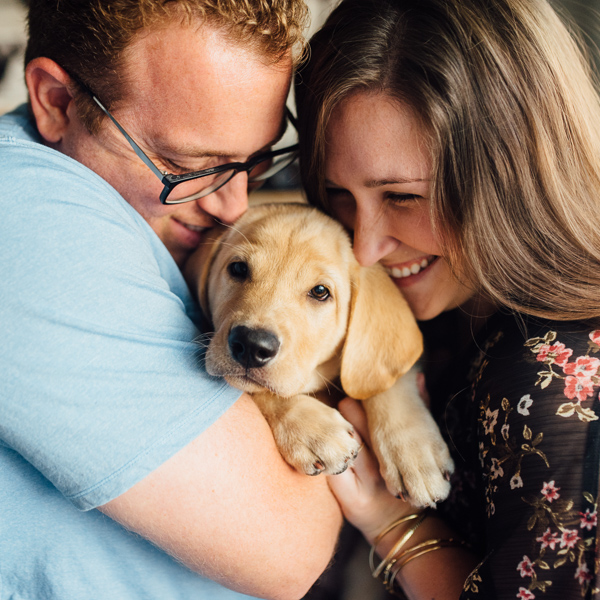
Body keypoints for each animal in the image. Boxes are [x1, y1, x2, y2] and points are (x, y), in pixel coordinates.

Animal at [185, 203, 452, 506]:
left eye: (320, 292)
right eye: (239, 268)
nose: (251, 346)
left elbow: (382, 381)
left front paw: (415, 454)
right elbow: (263, 392)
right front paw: (314, 431)